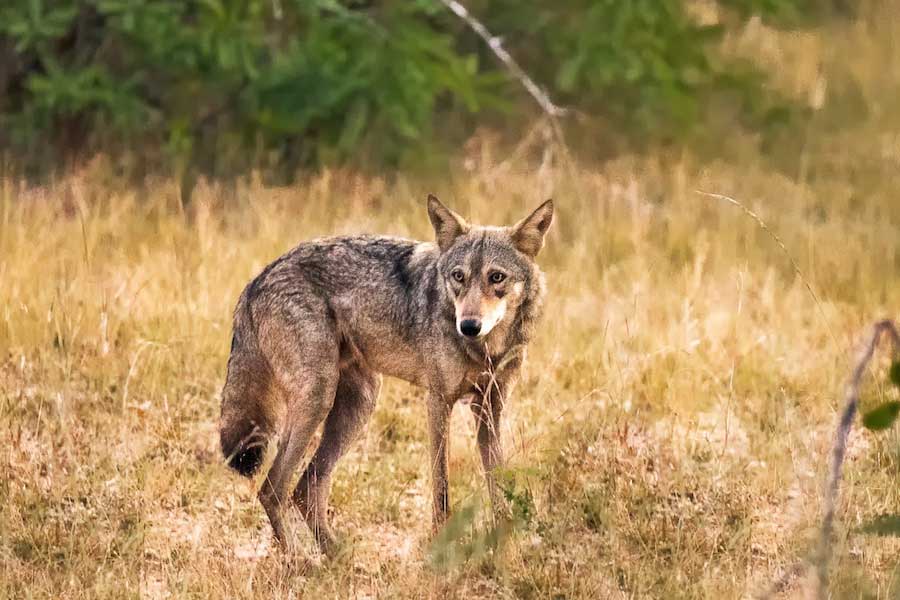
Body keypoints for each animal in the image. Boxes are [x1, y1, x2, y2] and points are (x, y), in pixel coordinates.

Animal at [219, 195, 553, 554]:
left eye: (496, 278)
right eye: (458, 277)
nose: (468, 325)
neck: (487, 349)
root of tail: (256, 280)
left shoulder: (490, 408)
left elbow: (497, 480)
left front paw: (505, 543)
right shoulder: (438, 402)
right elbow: (441, 486)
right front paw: (442, 545)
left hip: (357, 407)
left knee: (305, 489)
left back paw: (338, 557)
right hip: (318, 402)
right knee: (272, 488)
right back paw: (301, 561)